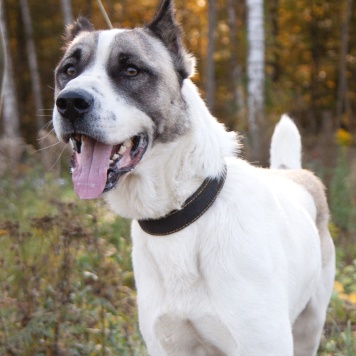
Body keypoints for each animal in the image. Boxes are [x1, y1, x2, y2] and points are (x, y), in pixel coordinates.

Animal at [52, 1, 334, 354]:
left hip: (310, 325)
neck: (181, 213)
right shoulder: (165, 343)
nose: (69, 103)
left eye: (131, 71)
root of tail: (290, 174)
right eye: (68, 71)